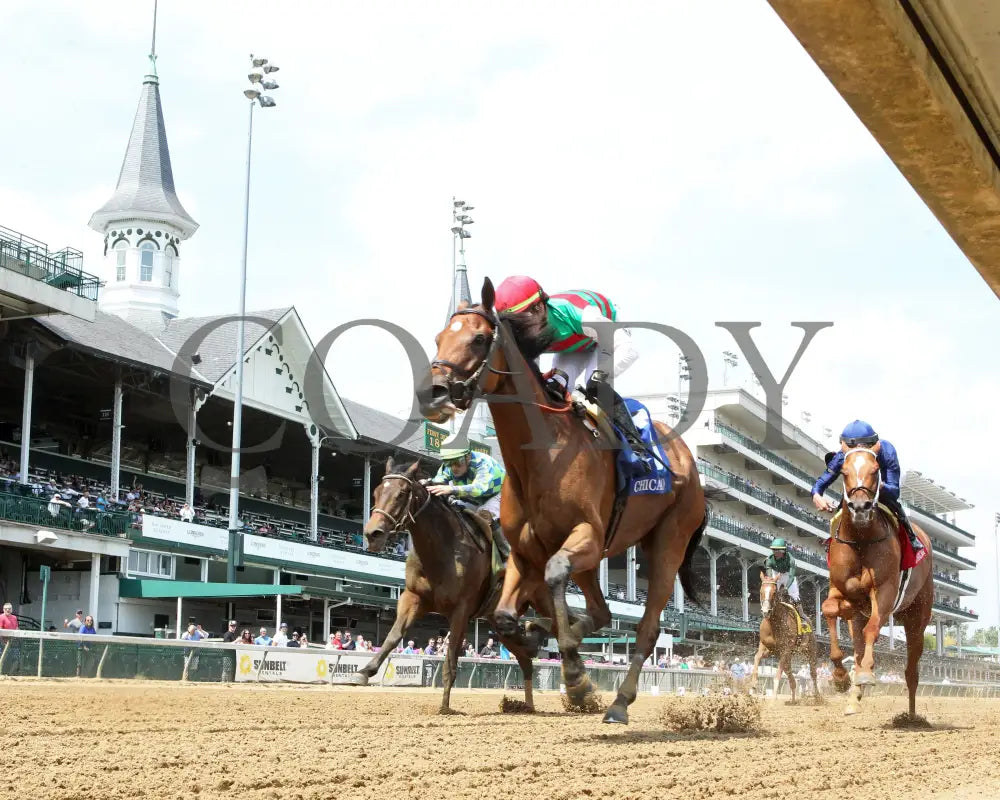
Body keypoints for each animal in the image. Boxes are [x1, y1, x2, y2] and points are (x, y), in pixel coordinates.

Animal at [360, 456, 544, 712]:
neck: (441, 551)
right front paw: (366, 670)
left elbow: (450, 660)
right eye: (376, 492)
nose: (372, 534)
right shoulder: (413, 597)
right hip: (498, 619)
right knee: (525, 657)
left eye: (402, 493)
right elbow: (394, 636)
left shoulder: (460, 610)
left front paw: (445, 707)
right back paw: (528, 705)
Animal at [418, 280, 708, 724]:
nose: (432, 393)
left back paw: (618, 703)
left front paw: (575, 676)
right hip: (593, 562)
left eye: (480, 338)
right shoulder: (524, 552)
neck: (542, 455)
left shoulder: (586, 535)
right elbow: (504, 616)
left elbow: (555, 576)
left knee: (647, 629)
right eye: (438, 338)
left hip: (667, 542)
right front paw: (538, 635)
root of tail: (688, 462)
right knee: (602, 613)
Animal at [752, 572, 820, 704]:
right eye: (761, 591)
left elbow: (777, 675)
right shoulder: (767, 649)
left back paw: (818, 697)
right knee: (790, 676)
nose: (765, 611)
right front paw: (752, 687)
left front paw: (773, 698)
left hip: (810, 649)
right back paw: (793, 699)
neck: (774, 624)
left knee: (813, 673)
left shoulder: (785, 650)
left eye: (774, 592)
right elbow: (756, 659)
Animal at [820, 444, 936, 720]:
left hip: (917, 618)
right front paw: (840, 677)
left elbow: (872, 629)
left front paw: (865, 673)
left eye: (875, 470)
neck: (861, 538)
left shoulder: (884, 591)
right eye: (843, 471)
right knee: (859, 646)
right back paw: (854, 698)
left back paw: (911, 717)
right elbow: (829, 610)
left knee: (911, 671)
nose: (860, 506)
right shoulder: (841, 591)